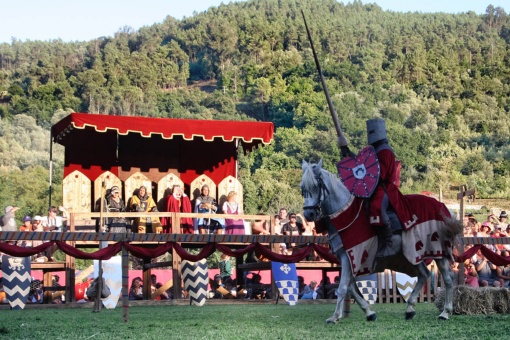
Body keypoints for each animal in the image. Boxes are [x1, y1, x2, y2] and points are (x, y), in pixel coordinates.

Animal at [298, 161, 462, 322]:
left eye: (315, 186)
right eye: (302, 189)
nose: (308, 214)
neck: (344, 214)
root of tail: (445, 209)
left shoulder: (349, 256)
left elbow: (343, 287)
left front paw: (335, 316)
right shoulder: (350, 259)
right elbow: (351, 287)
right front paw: (369, 312)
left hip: (437, 251)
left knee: (448, 278)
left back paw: (445, 312)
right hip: (412, 253)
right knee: (424, 274)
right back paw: (410, 309)